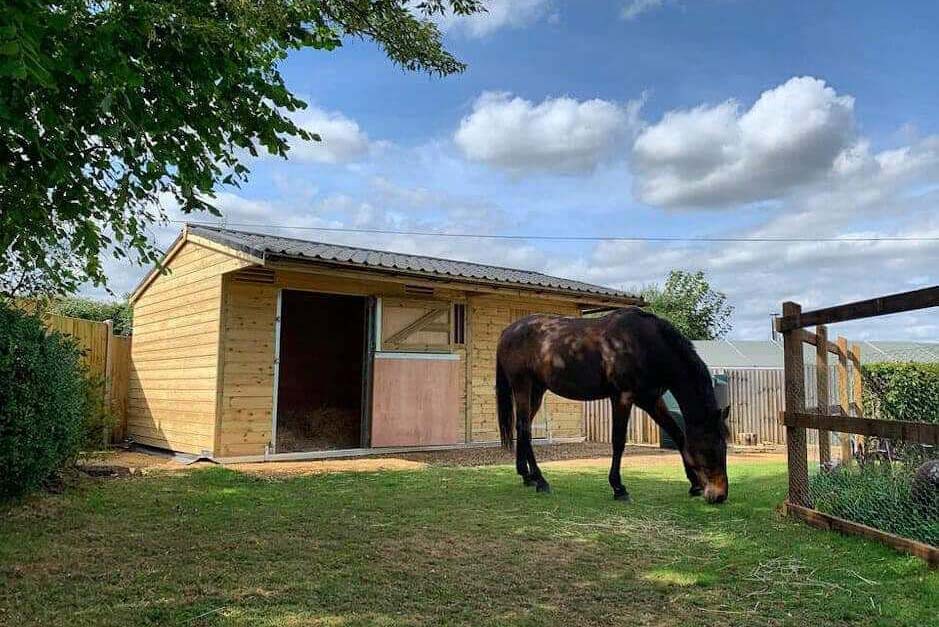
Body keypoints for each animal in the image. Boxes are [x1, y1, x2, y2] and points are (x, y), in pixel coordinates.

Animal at [496, 310, 732, 506]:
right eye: (710, 448)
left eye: (724, 446)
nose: (720, 495)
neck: (645, 345)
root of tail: (508, 332)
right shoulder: (622, 397)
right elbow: (618, 441)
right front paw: (619, 488)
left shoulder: (651, 400)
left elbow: (677, 435)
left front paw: (694, 484)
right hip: (523, 385)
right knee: (524, 428)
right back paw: (541, 480)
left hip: (536, 390)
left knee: (521, 428)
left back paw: (527, 476)